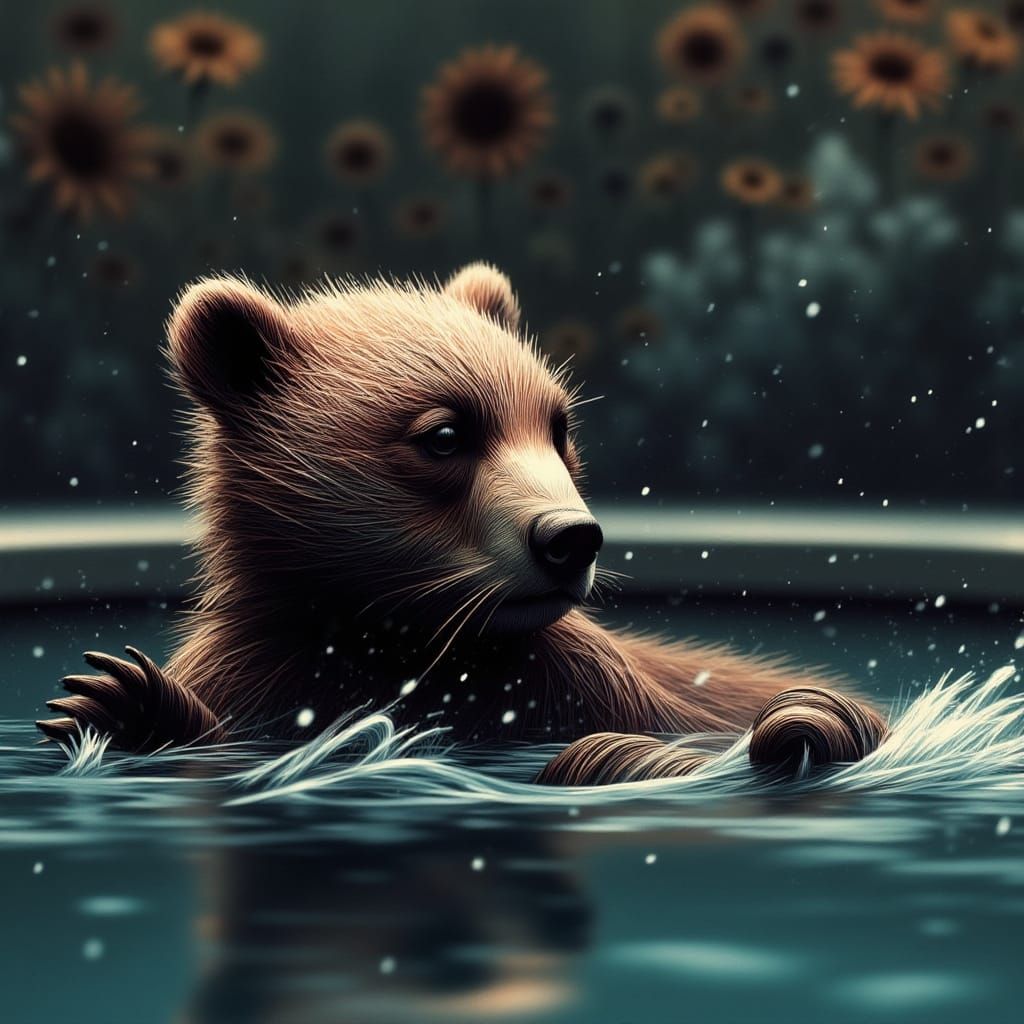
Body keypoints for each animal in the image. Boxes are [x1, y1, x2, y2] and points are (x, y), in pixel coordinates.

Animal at [37, 264, 886, 783]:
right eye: (445, 434)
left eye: (558, 425)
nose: (570, 538)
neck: (407, 644)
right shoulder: (269, 671)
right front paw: (120, 699)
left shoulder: (591, 689)